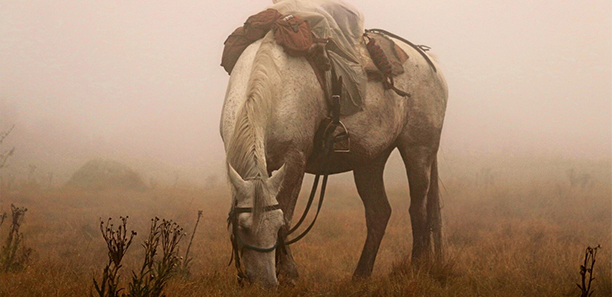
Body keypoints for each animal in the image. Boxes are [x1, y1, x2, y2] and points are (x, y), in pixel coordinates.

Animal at [221, 30, 450, 284]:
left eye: (276, 226)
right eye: (242, 227)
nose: (266, 282)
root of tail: (429, 63)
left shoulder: (294, 160)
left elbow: (287, 214)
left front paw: (290, 274)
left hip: (418, 150)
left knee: (418, 208)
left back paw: (417, 266)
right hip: (370, 161)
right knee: (379, 212)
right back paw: (360, 275)